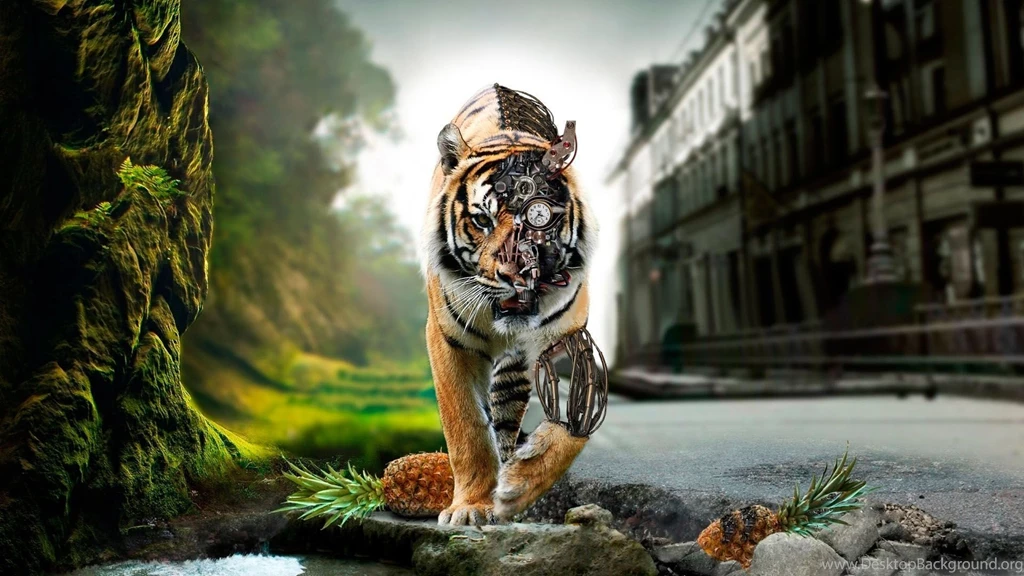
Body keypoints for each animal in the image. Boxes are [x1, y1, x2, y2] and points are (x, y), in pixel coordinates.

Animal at [420, 84, 597, 525]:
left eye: (539, 219)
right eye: (482, 221)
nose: (516, 275)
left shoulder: (570, 340)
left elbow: (572, 425)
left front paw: (519, 485)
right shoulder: (447, 341)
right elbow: (465, 426)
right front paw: (470, 506)